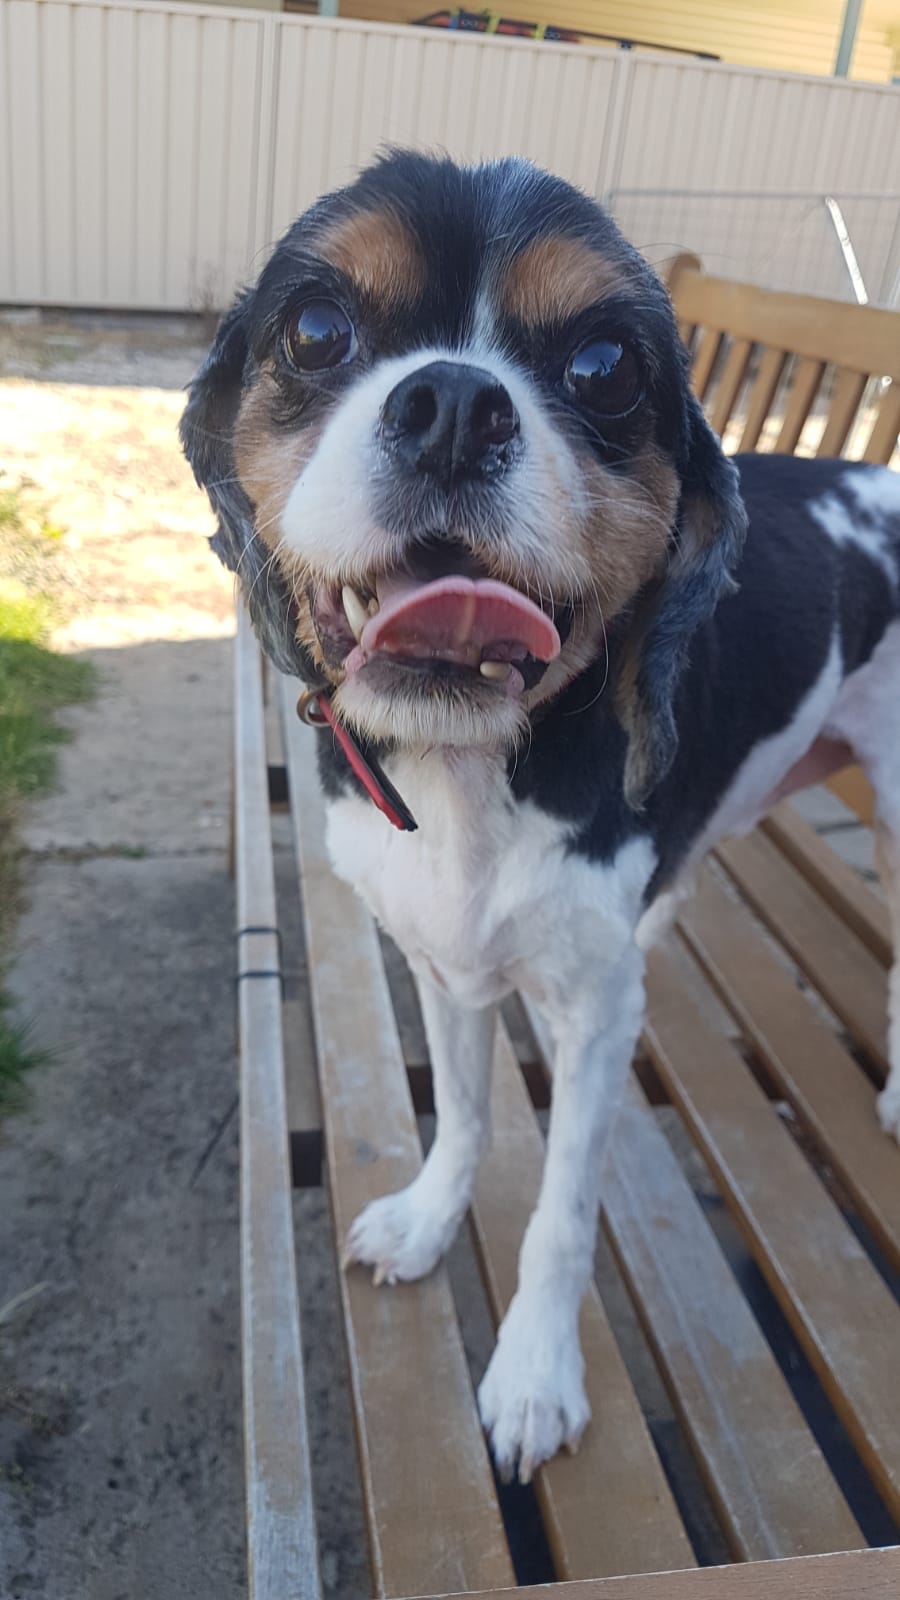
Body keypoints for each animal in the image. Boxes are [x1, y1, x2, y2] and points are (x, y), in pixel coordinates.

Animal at [182, 150, 900, 1484]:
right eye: (316, 330)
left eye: (607, 365)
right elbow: (464, 1113)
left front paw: (532, 1377)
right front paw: (429, 1218)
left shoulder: (594, 1025)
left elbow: (563, 1215)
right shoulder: (442, 961)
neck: (473, 771)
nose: (455, 404)